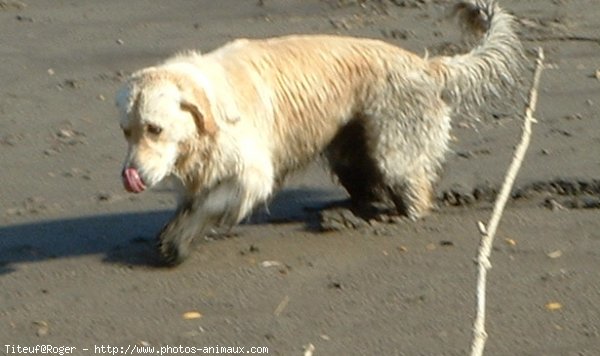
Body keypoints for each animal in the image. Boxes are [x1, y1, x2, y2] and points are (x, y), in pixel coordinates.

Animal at [115, 0, 524, 266]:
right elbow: (190, 203)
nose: (129, 176)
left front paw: (179, 241)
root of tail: (426, 65)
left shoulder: (252, 173)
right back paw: (349, 213)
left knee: (414, 191)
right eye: (126, 131)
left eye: (154, 129)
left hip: (394, 148)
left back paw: (388, 218)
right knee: (367, 184)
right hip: (349, 149)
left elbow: (210, 204)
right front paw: (171, 230)